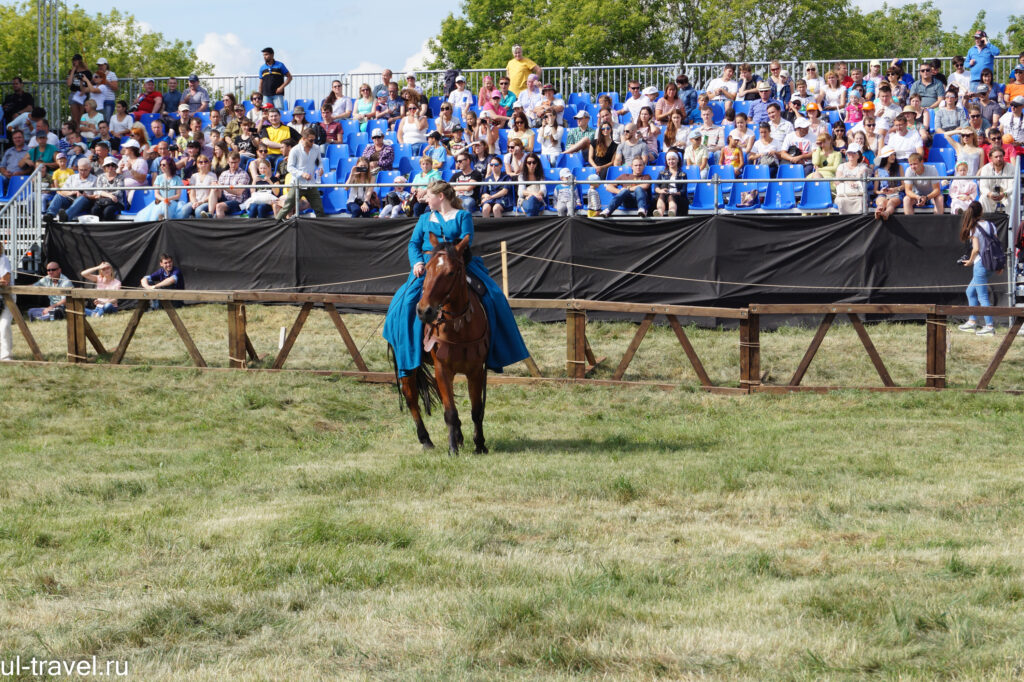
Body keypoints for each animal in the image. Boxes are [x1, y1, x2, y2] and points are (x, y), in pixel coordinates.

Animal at [399, 232, 491, 450]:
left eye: (450, 273)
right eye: (427, 268)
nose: (424, 311)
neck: (459, 325)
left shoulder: (476, 370)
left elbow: (476, 410)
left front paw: (479, 445)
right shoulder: (442, 368)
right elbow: (450, 412)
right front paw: (452, 449)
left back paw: (459, 436)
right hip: (407, 364)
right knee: (411, 396)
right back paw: (426, 439)